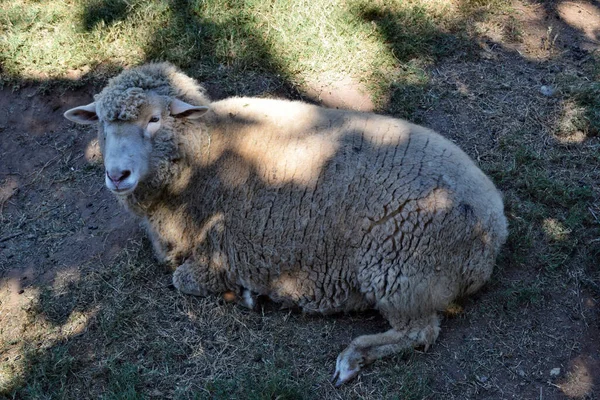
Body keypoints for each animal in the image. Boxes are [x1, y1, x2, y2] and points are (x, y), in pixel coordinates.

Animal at [64, 63, 506, 388]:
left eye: (155, 119)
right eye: (100, 122)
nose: (116, 175)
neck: (205, 152)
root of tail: (494, 226)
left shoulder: (218, 252)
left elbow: (183, 280)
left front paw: (244, 293)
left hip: (401, 270)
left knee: (420, 333)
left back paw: (352, 358)